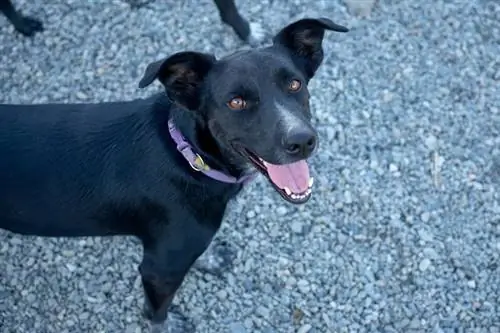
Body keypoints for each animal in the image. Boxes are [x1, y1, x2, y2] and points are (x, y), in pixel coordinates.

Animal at [0, 18, 348, 332]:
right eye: (236, 102)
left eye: (295, 84)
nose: (301, 141)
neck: (189, 157)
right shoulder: (159, 269)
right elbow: (158, 311)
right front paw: (165, 325)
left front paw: (210, 260)